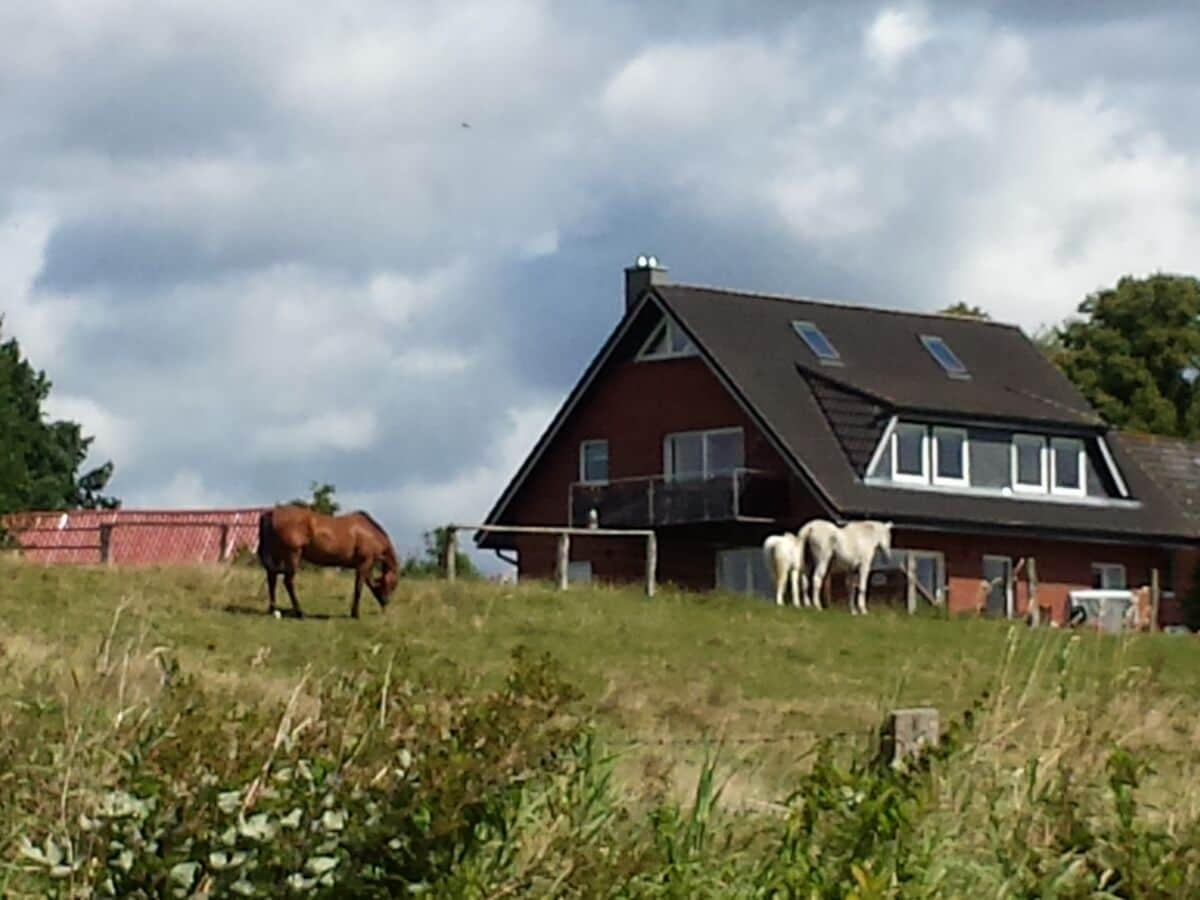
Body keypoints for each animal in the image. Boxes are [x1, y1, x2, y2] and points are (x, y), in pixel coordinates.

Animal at [256, 508, 398, 619]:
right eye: (393, 585)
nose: (386, 602)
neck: (370, 533)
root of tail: (272, 513)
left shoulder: (365, 565)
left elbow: (368, 584)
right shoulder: (364, 563)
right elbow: (359, 588)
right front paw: (355, 614)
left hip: (277, 555)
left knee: (272, 579)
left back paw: (273, 609)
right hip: (292, 555)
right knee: (288, 582)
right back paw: (299, 613)